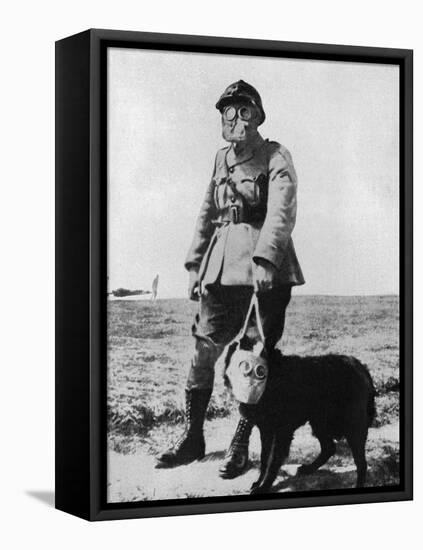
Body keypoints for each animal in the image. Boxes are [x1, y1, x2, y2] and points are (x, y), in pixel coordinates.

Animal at [224, 344, 376, 496]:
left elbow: (273, 461)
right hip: (319, 422)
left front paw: (264, 486)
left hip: (352, 426)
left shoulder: (282, 433)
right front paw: (259, 482)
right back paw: (309, 468)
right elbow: (264, 458)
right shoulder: (266, 430)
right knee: (329, 448)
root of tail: (359, 365)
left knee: (361, 463)